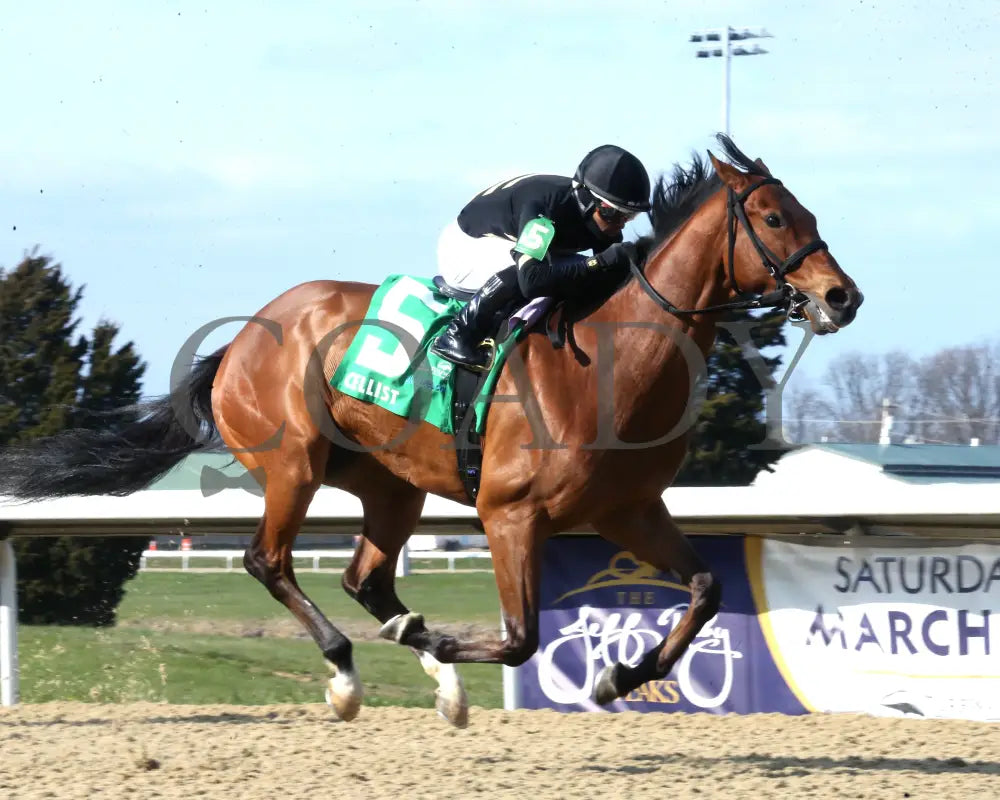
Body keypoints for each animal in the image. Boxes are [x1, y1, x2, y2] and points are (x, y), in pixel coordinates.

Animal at [0, 138, 860, 724]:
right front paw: (455, 648)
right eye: (774, 216)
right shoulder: (510, 515)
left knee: (366, 580)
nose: (841, 296)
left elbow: (708, 589)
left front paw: (617, 675)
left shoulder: (628, 511)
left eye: (814, 214)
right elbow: (519, 638)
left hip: (389, 483)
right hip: (295, 465)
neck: (610, 362)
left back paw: (434, 674)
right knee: (268, 561)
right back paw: (350, 674)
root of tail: (242, 340)